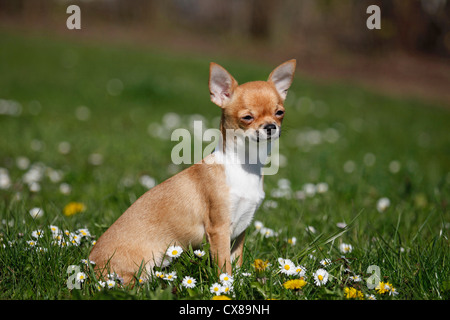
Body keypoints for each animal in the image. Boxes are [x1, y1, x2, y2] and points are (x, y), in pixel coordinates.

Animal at [89, 58, 298, 284]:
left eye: (280, 113)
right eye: (247, 117)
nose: (270, 126)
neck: (244, 166)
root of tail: (90, 263)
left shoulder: (241, 228)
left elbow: (236, 261)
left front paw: (239, 282)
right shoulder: (219, 229)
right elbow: (225, 267)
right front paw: (227, 286)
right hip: (138, 268)